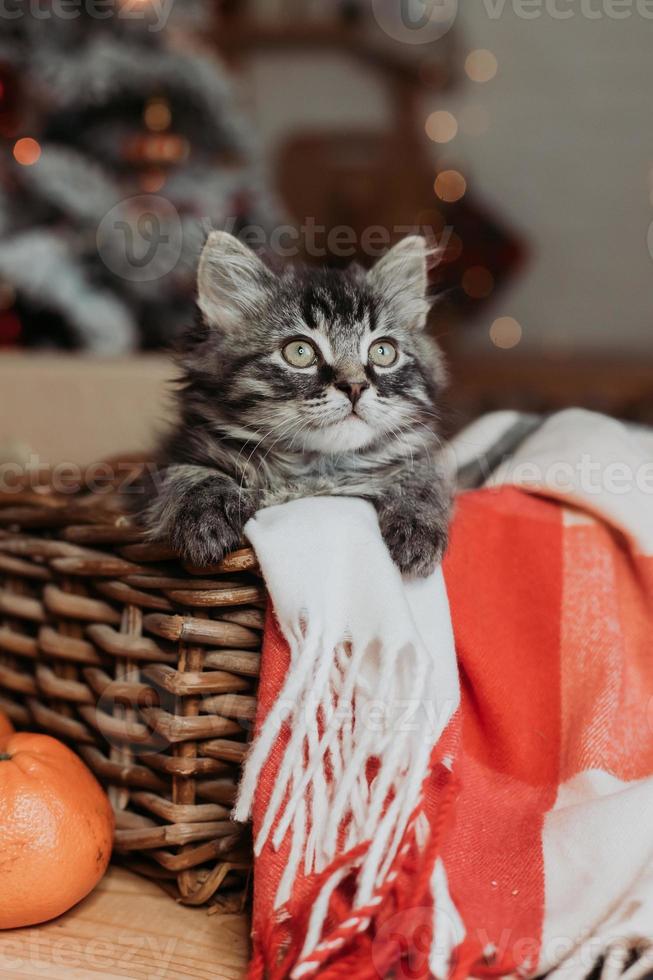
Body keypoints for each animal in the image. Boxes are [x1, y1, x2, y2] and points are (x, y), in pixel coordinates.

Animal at [139, 232, 450, 576]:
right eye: (300, 352)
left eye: (383, 352)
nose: (355, 386)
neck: (314, 469)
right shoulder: (155, 471)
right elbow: (188, 475)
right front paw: (206, 520)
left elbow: (422, 479)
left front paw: (418, 525)